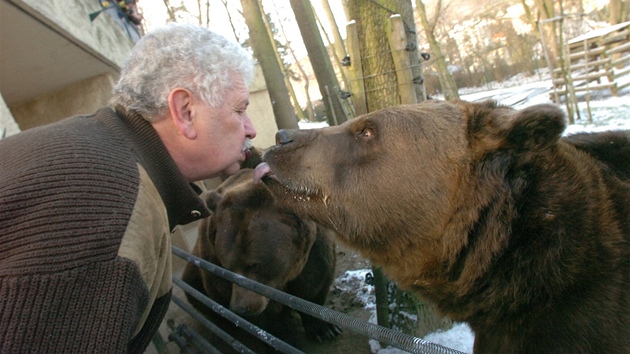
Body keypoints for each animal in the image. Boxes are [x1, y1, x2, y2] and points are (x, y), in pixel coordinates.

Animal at [180, 169, 344, 352]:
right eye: (227, 267)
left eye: (254, 264)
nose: (240, 307)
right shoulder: (213, 260)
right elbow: (267, 319)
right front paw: (280, 343)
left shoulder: (313, 250)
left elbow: (313, 284)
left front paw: (325, 330)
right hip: (194, 277)